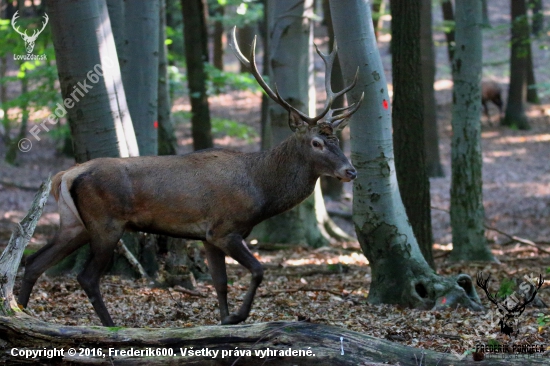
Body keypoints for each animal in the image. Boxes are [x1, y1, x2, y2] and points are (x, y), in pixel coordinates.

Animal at [17, 28, 364, 326]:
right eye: (317, 143)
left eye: (337, 139)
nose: (351, 171)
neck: (261, 190)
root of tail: (65, 174)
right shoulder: (225, 228)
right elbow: (258, 270)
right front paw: (238, 317)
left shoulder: (208, 235)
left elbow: (221, 283)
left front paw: (224, 320)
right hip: (105, 224)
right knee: (86, 277)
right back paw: (110, 326)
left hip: (74, 224)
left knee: (33, 262)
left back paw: (18, 312)